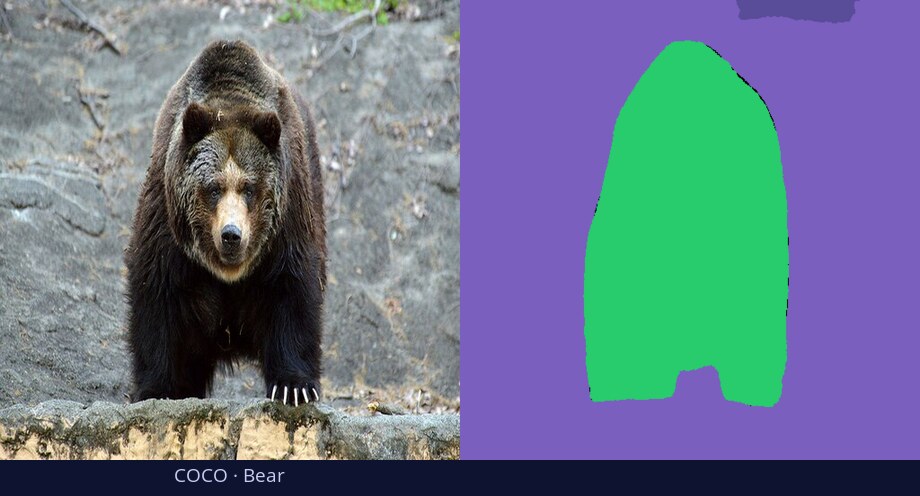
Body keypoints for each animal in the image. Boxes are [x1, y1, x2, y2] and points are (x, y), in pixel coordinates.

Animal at [125, 40, 326, 406]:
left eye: (249, 187)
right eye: (214, 187)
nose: (231, 235)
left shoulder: (288, 219)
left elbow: (293, 290)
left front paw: (293, 386)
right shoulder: (167, 225)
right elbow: (156, 298)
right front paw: (156, 389)